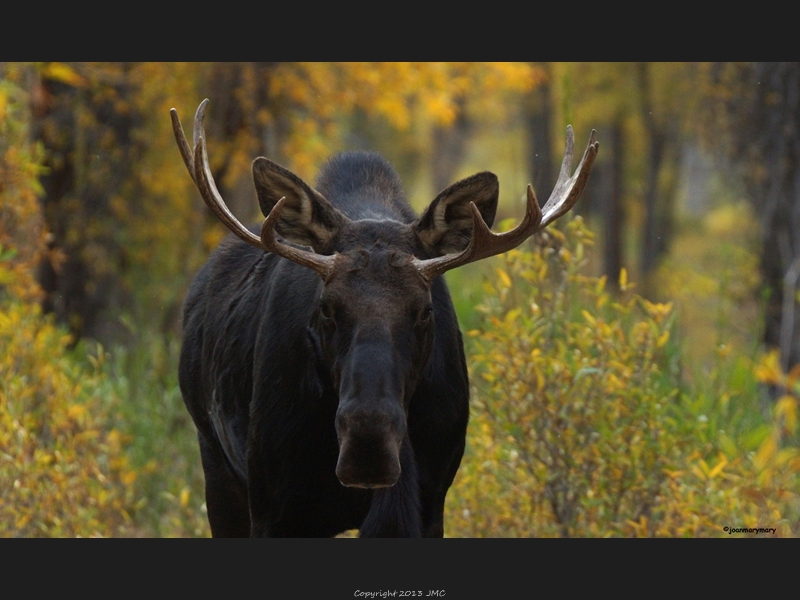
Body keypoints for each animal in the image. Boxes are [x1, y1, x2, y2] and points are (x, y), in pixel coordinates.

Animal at [172, 99, 596, 540]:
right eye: (326, 307)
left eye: (425, 310)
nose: (368, 446)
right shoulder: (273, 506)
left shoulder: (427, 503)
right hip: (216, 462)